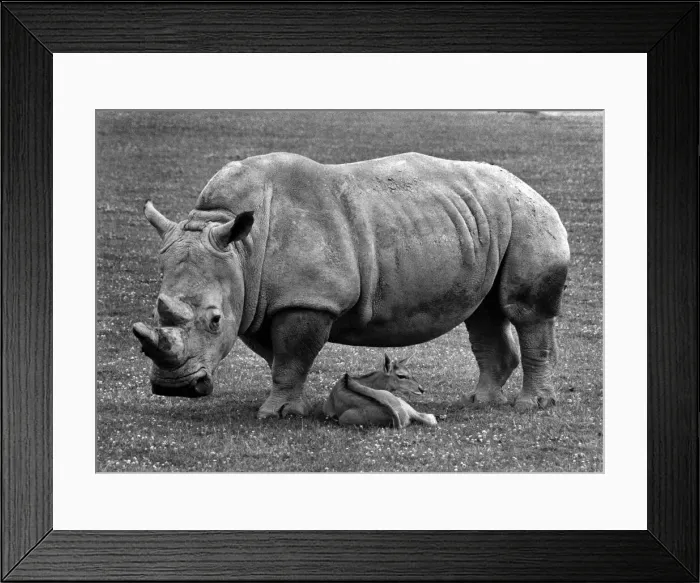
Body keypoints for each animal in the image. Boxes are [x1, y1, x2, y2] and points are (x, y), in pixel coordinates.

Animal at [132, 152, 569, 417]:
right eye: (156, 308)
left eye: (214, 321)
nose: (174, 389)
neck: (242, 250)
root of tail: (533, 189)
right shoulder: (259, 299)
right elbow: (279, 357)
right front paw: (295, 407)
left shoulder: (308, 300)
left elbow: (291, 357)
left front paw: (276, 414)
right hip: (485, 220)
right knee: (484, 312)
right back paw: (479, 402)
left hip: (528, 218)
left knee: (524, 311)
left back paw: (531, 406)